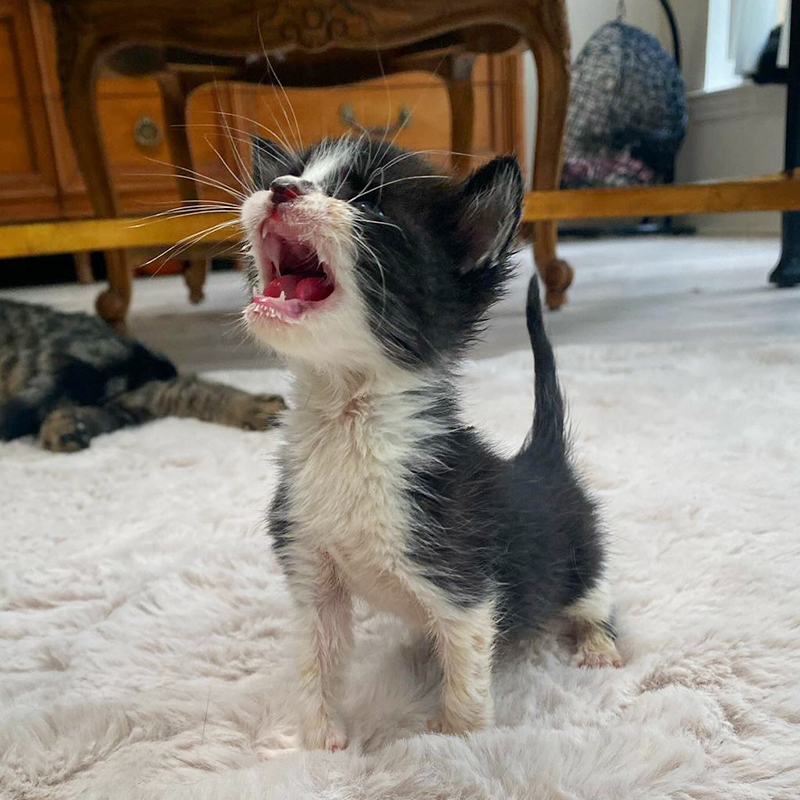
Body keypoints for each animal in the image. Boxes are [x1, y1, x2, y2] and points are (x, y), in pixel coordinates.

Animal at [241, 136, 620, 752]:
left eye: (368, 202)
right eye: (296, 173)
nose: (280, 190)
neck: (347, 425)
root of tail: (542, 461)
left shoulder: (463, 582)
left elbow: (466, 667)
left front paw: (456, 743)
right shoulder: (311, 568)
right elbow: (315, 657)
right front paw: (317, 739)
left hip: (580, 560)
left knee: (597, 597)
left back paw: (599, 643)